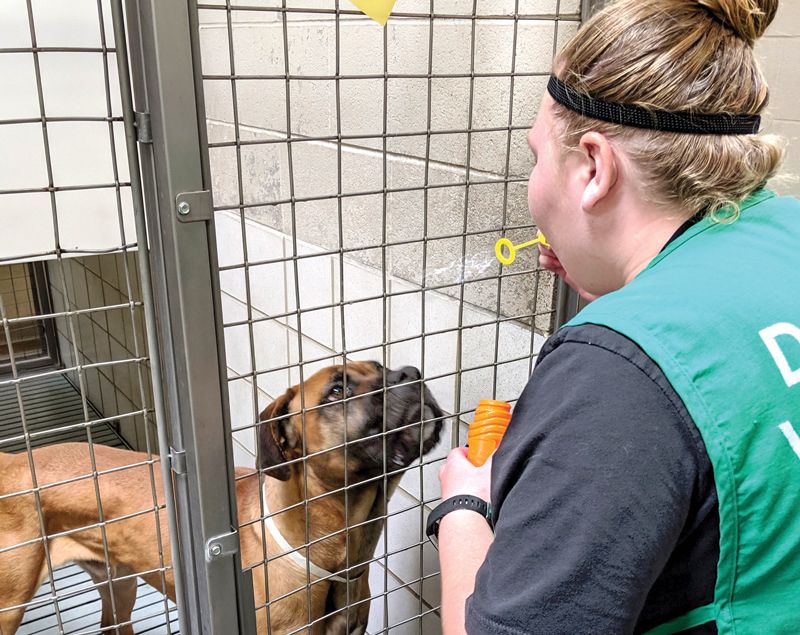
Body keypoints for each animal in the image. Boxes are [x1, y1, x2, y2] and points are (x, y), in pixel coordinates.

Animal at [0, 362, 444, 635]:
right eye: (336, 391)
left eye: (382, 368)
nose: (410, 373)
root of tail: (14, 461)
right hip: (10, 605)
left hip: (118, 583)